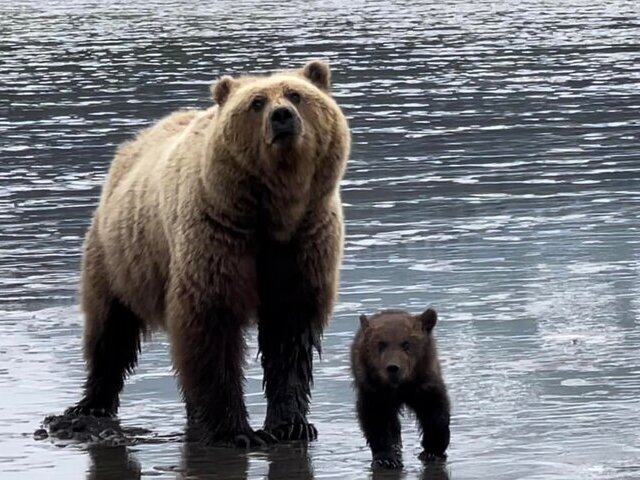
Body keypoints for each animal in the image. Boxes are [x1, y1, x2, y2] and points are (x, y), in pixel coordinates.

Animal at [65, 59, 350, 446]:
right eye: (257, 102)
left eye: (295, 95)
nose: (282, 117)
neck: (275, 211)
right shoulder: (218, 233)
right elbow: (211, 323)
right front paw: (236, 431)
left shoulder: (302, 242)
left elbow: (289, 331)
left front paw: (292, 425)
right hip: (118, 256)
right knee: (110, 329)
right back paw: (91, 405)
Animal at [350, 308, 450, 468]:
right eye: (381, 344)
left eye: (406, 344)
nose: (393, 368)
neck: (400, 386)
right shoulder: (375, 391)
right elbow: (375, 418)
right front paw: (385, 457)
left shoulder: (423, 384)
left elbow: (435, 412)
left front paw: (432, 451)